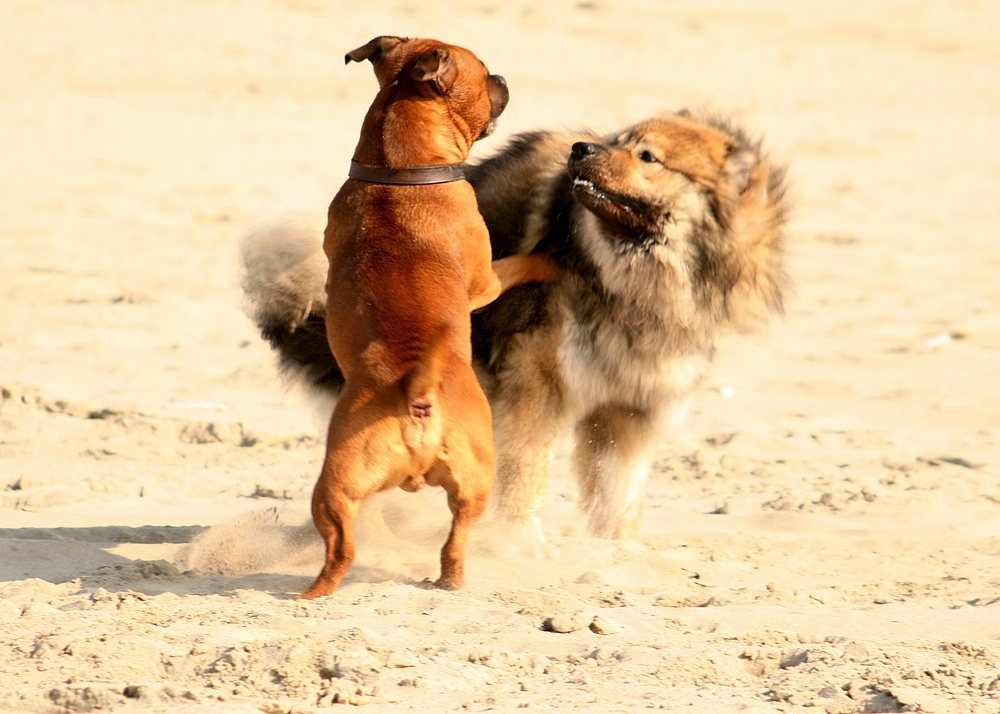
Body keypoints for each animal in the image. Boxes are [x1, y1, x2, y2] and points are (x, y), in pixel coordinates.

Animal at [244, 110, 788, 544]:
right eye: (617, 140)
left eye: (648, 156)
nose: (582, 148)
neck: (633, 286)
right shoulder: (539, 387)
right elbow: (529, 470)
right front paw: (524, 542)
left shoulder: (632, 410)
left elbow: (619, 490)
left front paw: (616, 548)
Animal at [296, 36, 564, 596]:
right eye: (483, 72)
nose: (502, 77)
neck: (399, 173)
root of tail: (415, 394)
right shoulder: (485, 281)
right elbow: (519, 263)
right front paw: (551, 260)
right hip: (465, 481)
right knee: (441, 541)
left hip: (345, 491)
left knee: (360, 546)